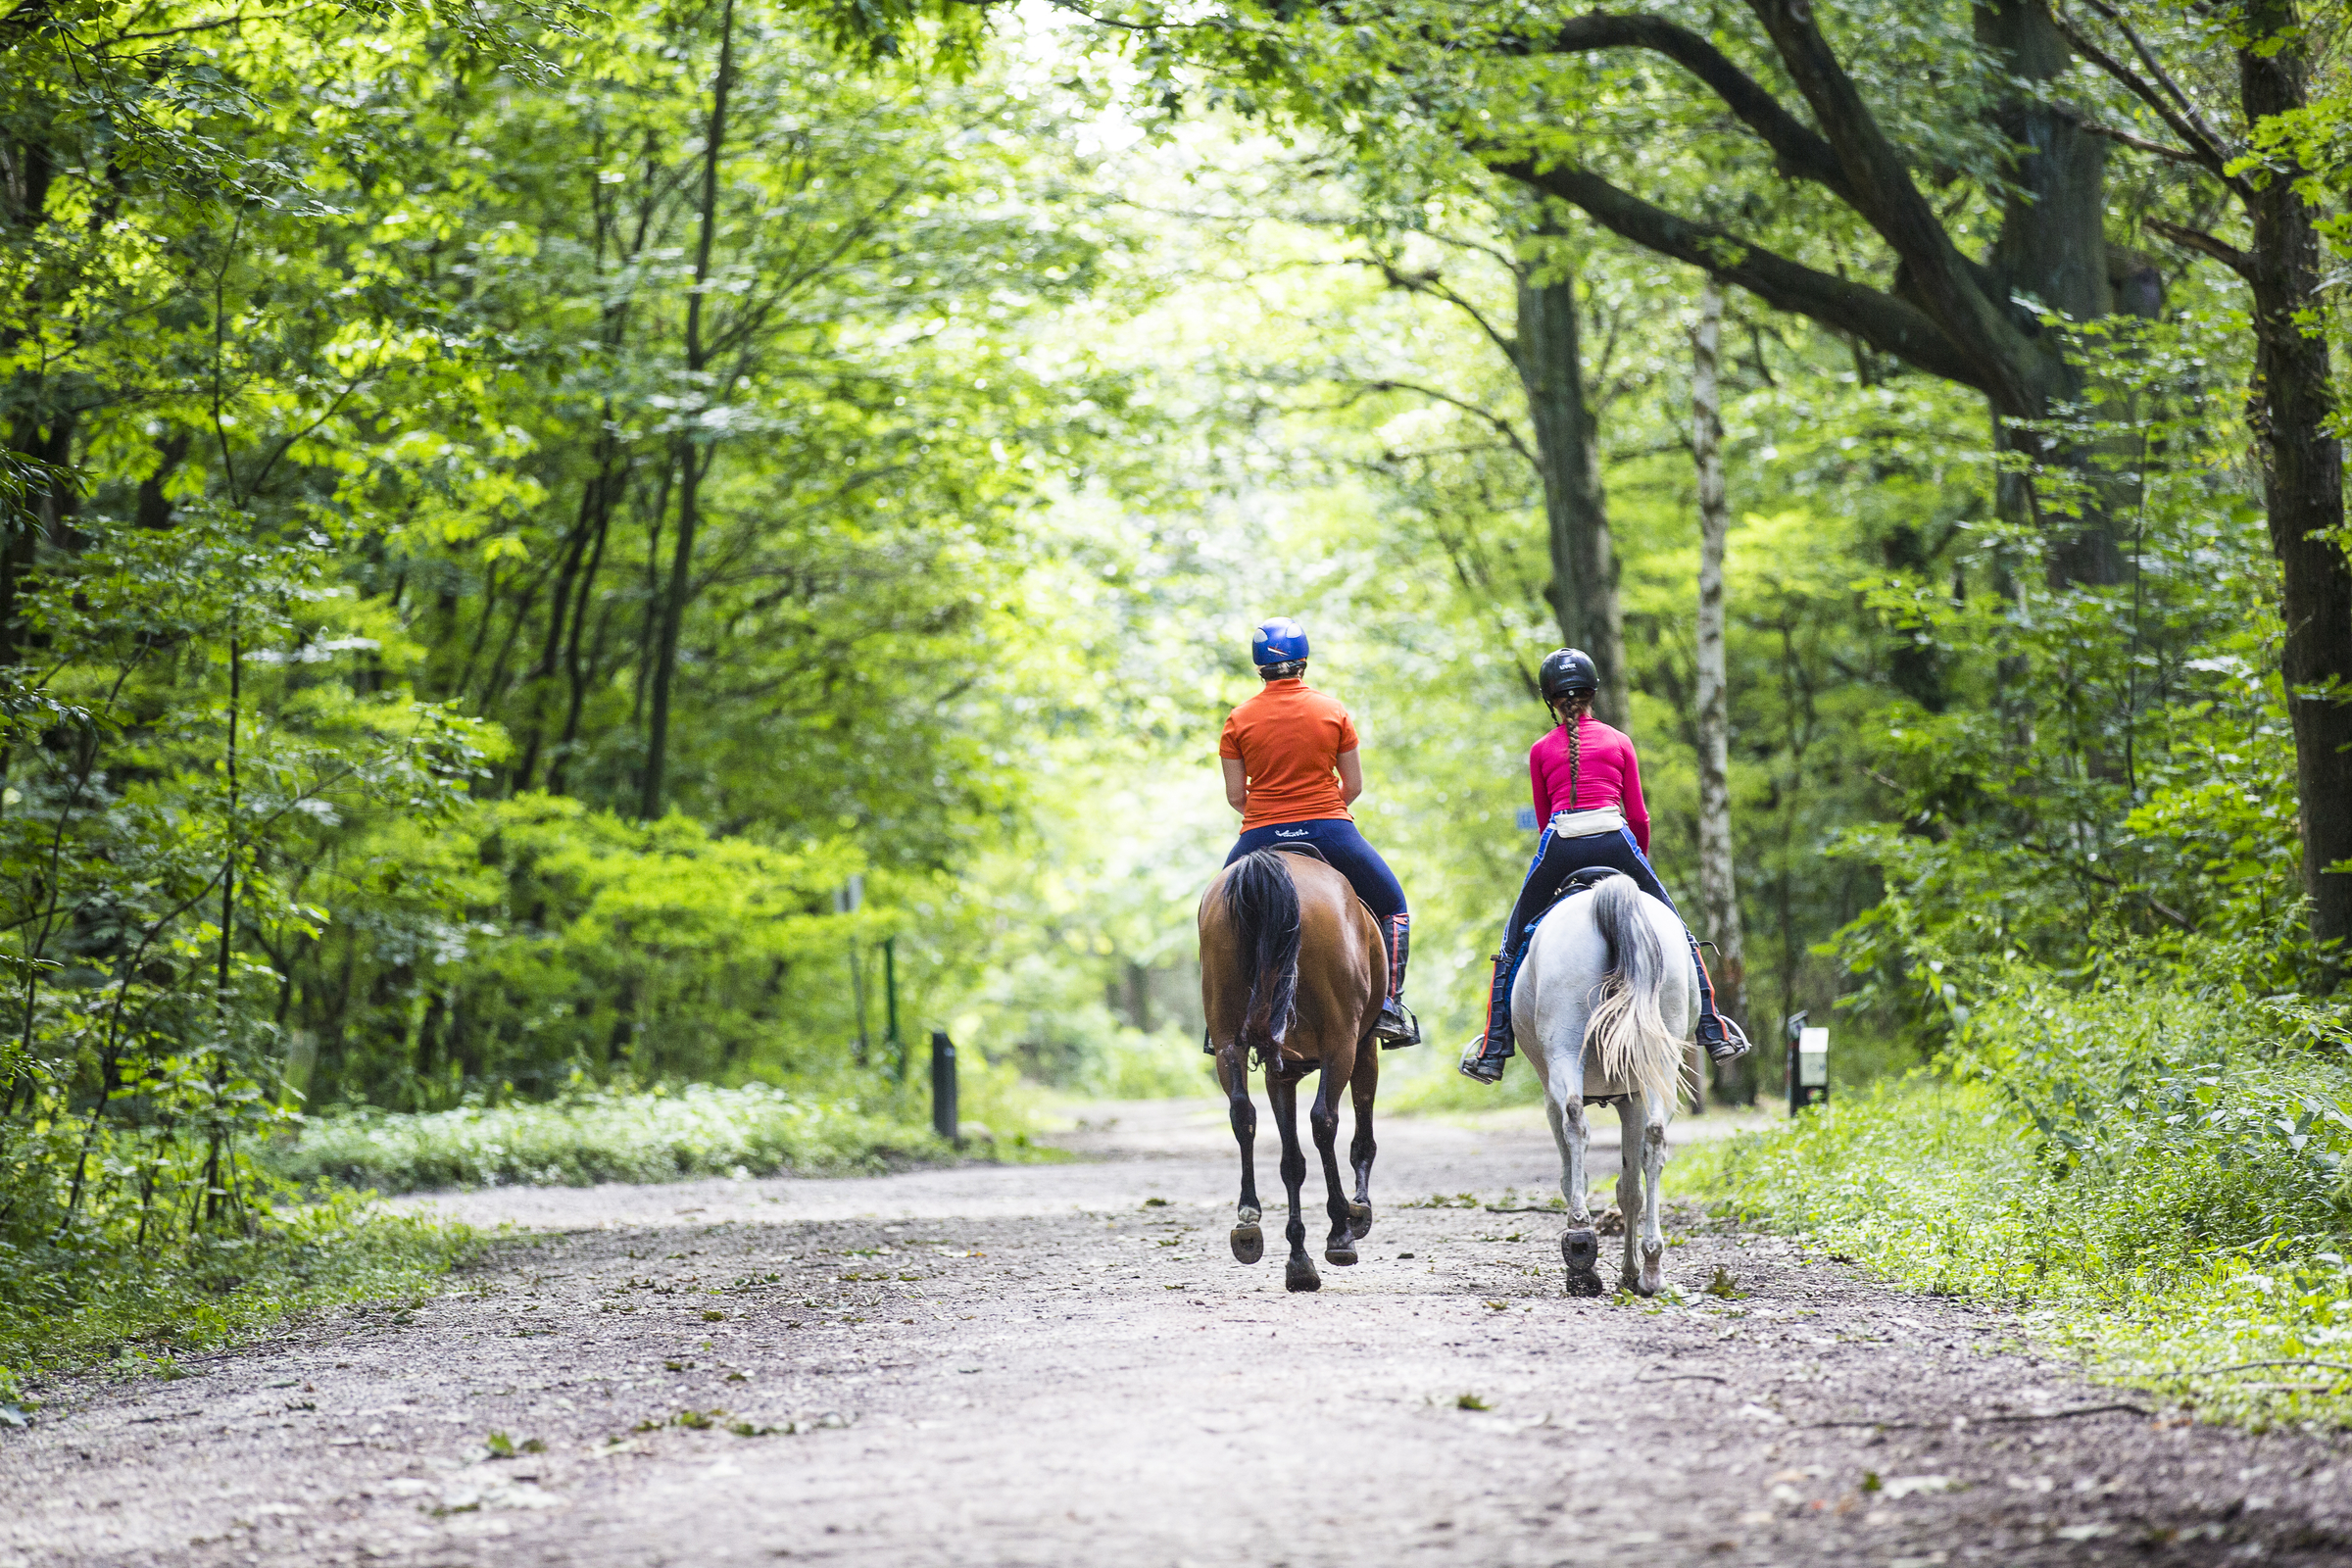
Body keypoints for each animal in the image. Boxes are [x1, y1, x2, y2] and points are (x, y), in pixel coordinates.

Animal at [1195, 851, 1373, 1298]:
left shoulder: (1281, 1072)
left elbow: (1291, 1159)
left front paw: (1297, 1257)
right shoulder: (1362, 1044)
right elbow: (1360, 1134)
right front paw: (1356, 1213)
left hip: (1228, 1034)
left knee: (1243, 1114)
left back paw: (1250, 1224)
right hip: (1342, 1039)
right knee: (1324, 1121)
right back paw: (1340, 1232)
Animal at [1505, 869, 1693, 1298]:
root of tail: (1603, 895)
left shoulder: (1551, 1099)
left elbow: (1581, 1177)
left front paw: (1620, 1267)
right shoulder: (1634, 1098)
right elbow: (1630, 1189)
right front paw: (1632, 1270)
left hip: (1565, 1050)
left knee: (1575, 1121)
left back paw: (1580, 1246)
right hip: (1658, 1061)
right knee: (1655, 1139)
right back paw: (1652, 1268)